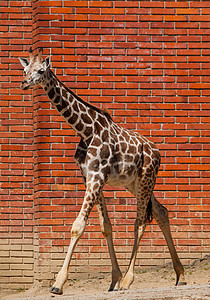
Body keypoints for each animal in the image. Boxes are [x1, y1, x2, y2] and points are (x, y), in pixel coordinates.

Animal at [18, 47, 186, 296]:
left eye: (40, 70)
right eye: (25, 69)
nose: (24, 83)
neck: (86, 131)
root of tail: (157, 152)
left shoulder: (98, 177)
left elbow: (78, 227)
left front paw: (58, 283)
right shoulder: (90, 177)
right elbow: (106, 227)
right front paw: (114, 280)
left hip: (146, 180)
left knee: (139, 224)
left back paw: (129, 280)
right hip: (134, 184)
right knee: (161, 212)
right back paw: (180, 275)